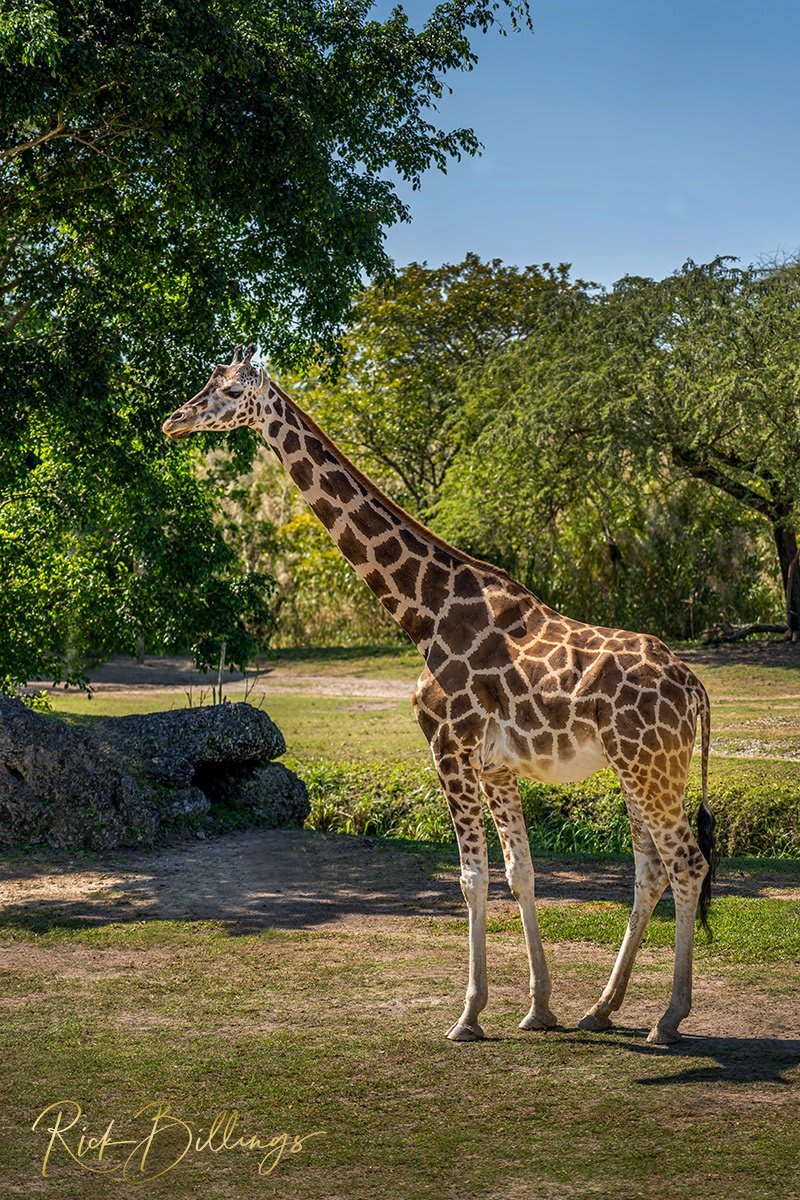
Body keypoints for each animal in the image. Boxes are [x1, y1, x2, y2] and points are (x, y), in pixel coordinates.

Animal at [163, 343, 716, 1047]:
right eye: (208, 381)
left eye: (232, 392)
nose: (174, 422)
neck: (424, 612)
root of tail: (695, 687)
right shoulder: (498, 765)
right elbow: (520, 872)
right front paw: (539, 1008)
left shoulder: (447, 747)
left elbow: (472, 877)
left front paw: (468, 1015)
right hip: (639, 769)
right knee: (651, 870)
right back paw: (601, 1008)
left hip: (651, 767)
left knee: (687, 865)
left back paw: (668, 1019)